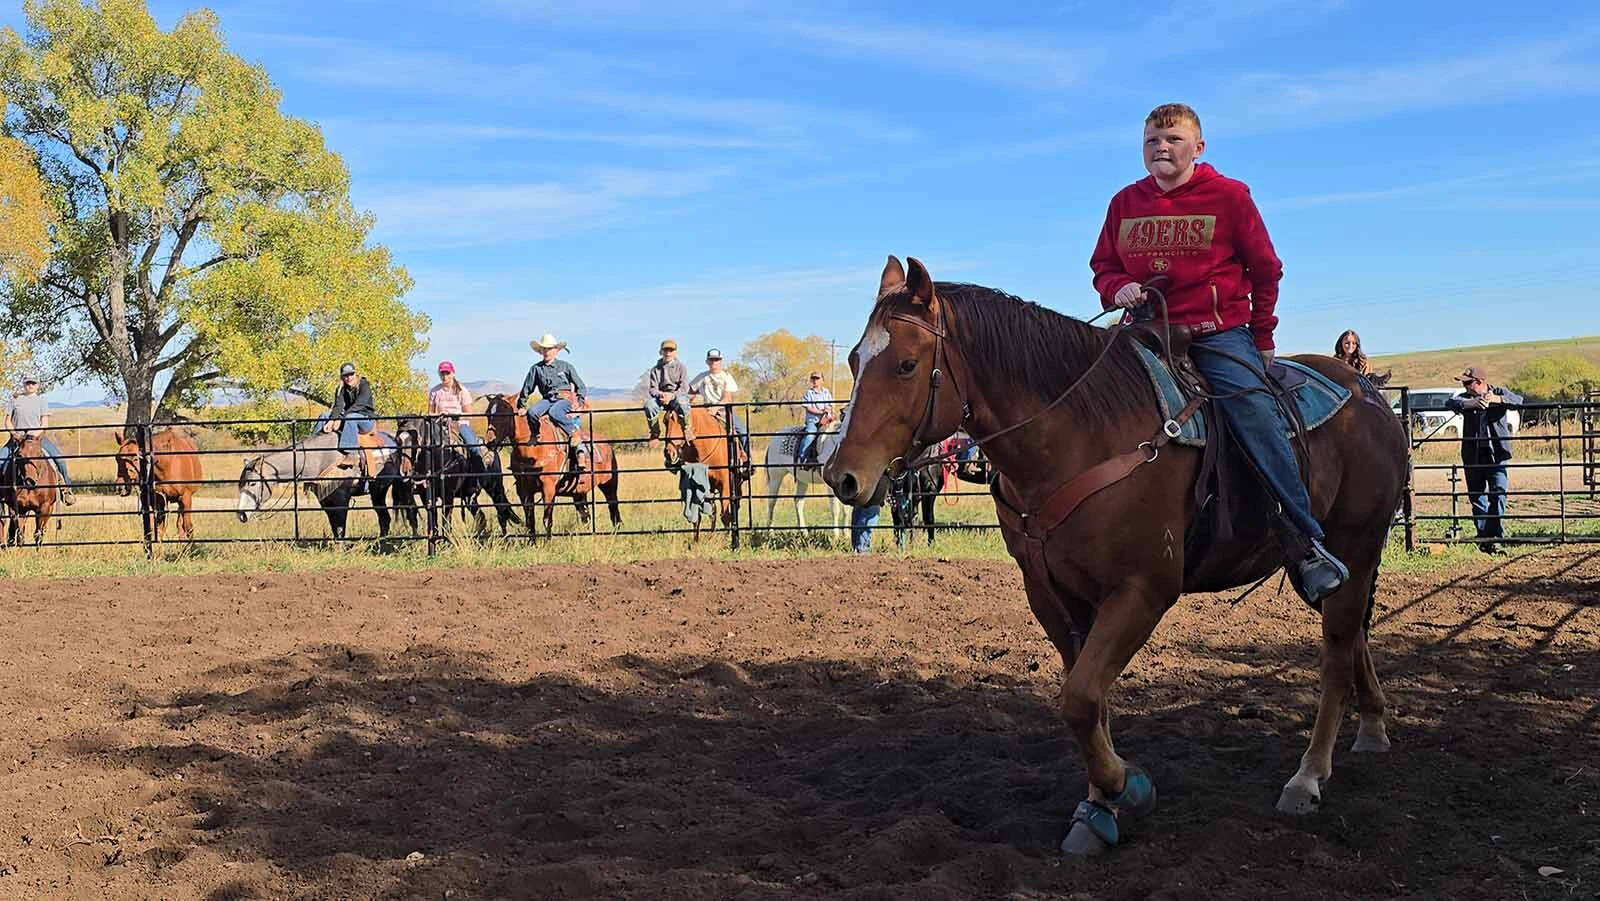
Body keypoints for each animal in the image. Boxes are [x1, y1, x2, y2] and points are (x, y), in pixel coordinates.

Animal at [235, 430, 418, 540]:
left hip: (397, 486)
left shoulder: (341, 499)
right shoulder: (326, 500)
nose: (241, 514)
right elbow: (334, 526)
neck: (319, 457)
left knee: (410, 513)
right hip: (377, 492)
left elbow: (340, 526)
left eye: (252, 483)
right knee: (384, 518)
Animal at [481, 394, 622, 540]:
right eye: (487, 413)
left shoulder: (548, 487)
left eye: (504, 413)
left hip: (609, 485)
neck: (533, 447)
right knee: (585, 516)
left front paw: (547, 542)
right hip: (579, 493)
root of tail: (607, 445)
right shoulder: (523, 490)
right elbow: (530, 519)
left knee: (614, 510)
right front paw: (531, 542)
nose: (490, 442)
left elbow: (547, 519)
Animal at [661, 405, 743, 541]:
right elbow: (697, 517)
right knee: (713, 512)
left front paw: (727, 539)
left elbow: (726, 515)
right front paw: (696, 540)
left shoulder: (725, 485)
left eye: (682, 420)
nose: (669, 453)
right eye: (665, 421)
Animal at [824, 257, 1409, 856]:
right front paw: (1099, 808)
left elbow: (1081, 698)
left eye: (906, 365)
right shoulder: (1053, 595)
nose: (840, 476)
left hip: (1356, 546)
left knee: (1337, 654)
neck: (1080, 434)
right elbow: (1088, 701)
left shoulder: (1142, 590)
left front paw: (1128, 787)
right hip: (1321, 569)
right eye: (853, 358)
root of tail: (1368, 394)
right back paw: (1372, 727)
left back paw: (1308, 776)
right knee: (1354, 636)